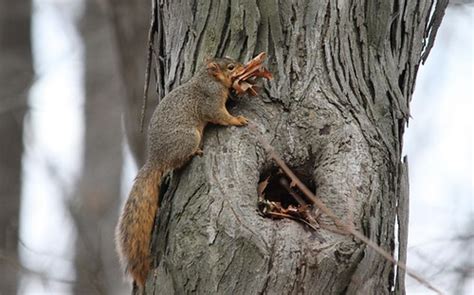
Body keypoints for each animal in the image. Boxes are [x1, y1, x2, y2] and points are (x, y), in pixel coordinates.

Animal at [115, 57, 248, 292]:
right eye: (230, 67)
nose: (242, 65)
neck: (207, 79)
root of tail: (156, 159)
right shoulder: (210, 101)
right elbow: (220, 116)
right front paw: (237, 120)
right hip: (188, 137)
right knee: (178, 162)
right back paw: (194, 153)